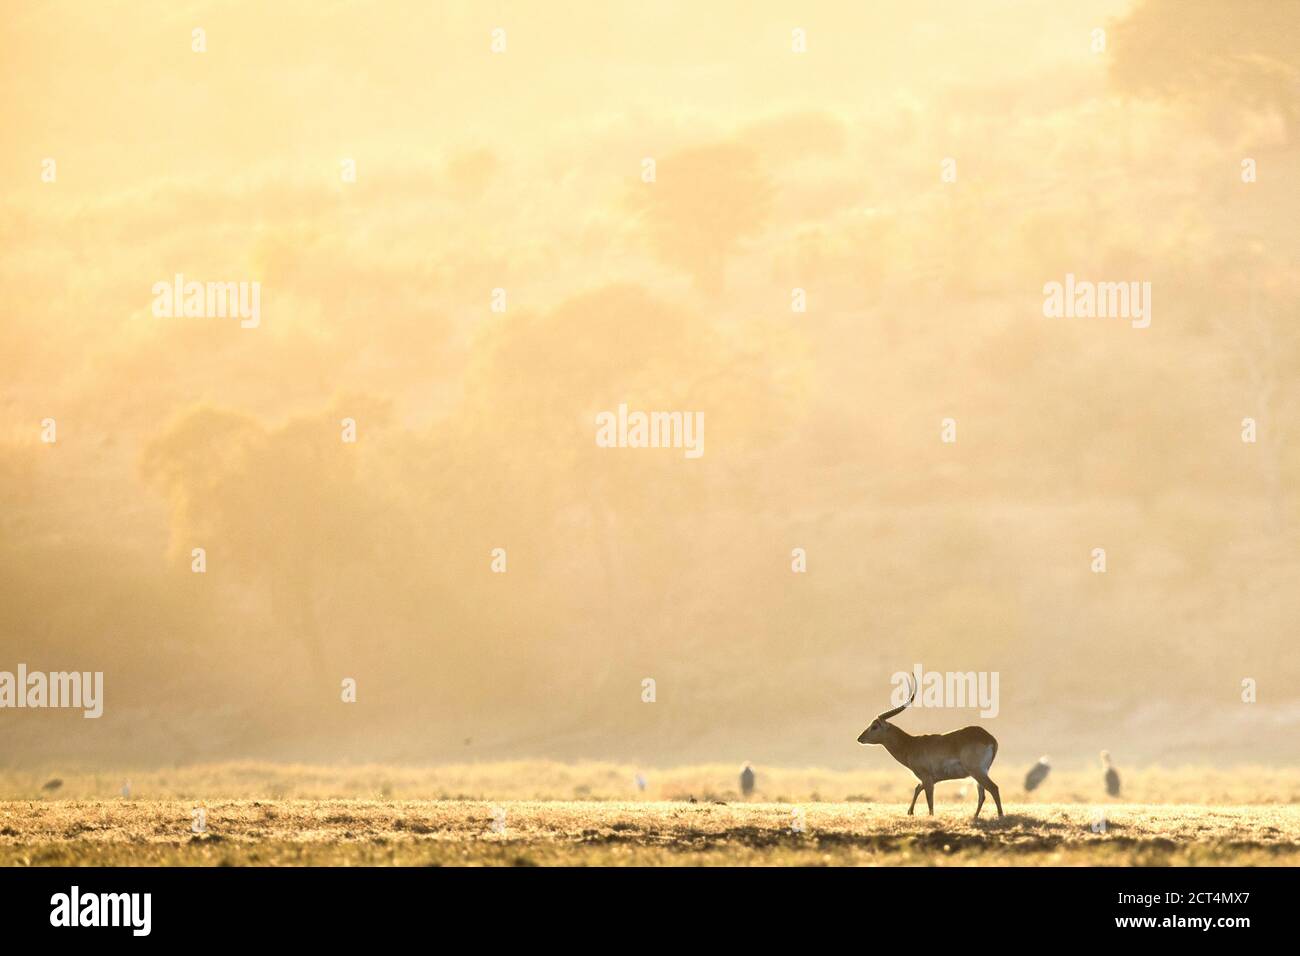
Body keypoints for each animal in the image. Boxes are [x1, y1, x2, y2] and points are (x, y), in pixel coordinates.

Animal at [852, 676, 1003, 816]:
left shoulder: (927, 778)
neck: (911, 744)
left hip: (977, 772)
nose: (860, 738)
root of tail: (989, 738)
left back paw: (1000, 816)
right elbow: (917, 788)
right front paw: (910, 812)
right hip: (978, 774)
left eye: (875, 726)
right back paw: (975, 817)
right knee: (982, 795)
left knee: (993, 788)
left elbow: (929, 802)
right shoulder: (930, 780)